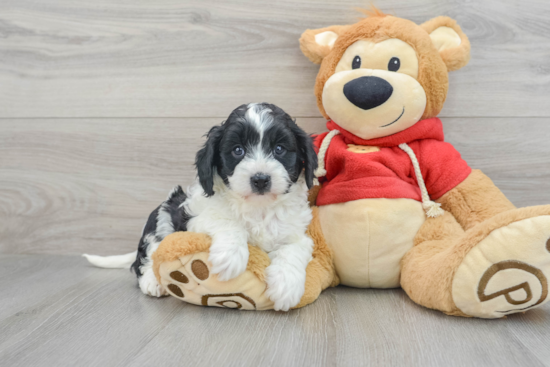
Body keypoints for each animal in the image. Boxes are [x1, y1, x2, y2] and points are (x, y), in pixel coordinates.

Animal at [85, 103, 320, 310]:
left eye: (279, 149)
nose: (260, 179)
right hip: (162, 215)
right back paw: (152, 281)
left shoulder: (296, 232)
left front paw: (287, 286)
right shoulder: (195, 218)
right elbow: (226, 221)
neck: (258, 208)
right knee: (148, 256)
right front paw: (230, 256)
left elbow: (295, 248)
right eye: (238, 150)